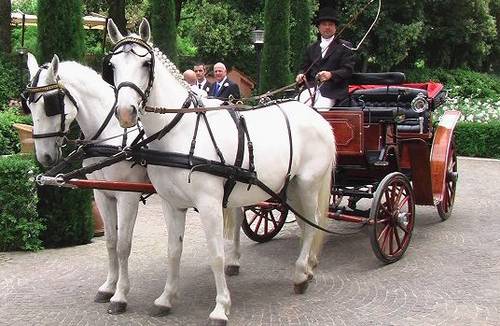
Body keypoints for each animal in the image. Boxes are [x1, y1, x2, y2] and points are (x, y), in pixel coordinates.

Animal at [24, 53, 150, 314]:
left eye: (51, 104)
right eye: (28, 105)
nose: (44, 157)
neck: (110, 135)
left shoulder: (128, 196)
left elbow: (123, 245)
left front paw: (120, 296)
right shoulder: (104, 194)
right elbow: (111, 242)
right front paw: (108, 287)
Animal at [108, 19, 338, 324]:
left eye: (146, 64)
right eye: (112, 66)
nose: (125, 112)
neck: (179, 131)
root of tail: (316, 116)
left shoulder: (209, 204)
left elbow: (216, 255)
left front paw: (221, 307)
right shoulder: (172, 204)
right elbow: (173, 251)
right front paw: (166, 299)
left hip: (308, 185)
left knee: (312, 224)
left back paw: (301, 275)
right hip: (290, 188)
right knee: (304, 225)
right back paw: (308, 267)